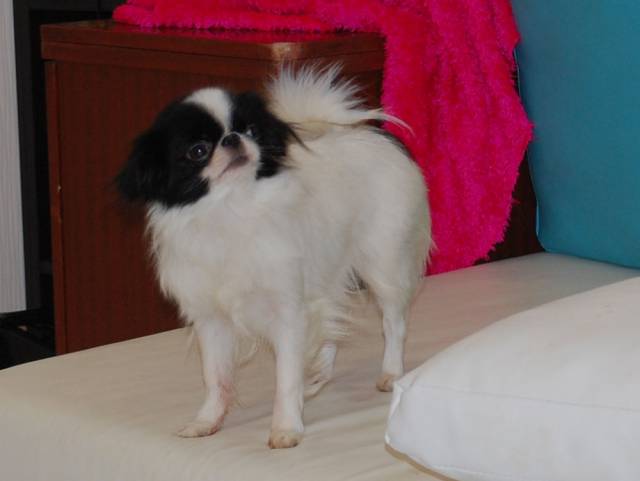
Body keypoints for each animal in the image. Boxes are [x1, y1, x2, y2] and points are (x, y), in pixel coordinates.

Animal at [116, 66, 431, 449]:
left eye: (251, 131)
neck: (231, 211)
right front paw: (207, 421)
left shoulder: (288, 311)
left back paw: (390, 373)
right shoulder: (211, 320)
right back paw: (321, 374)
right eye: (197, 151)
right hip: (327, 272)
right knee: (332, 323)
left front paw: (286, 428)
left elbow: (286, 377)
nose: (233, 139)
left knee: (393, 322)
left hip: (384, 263)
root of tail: (376, 136)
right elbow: (215, 377)